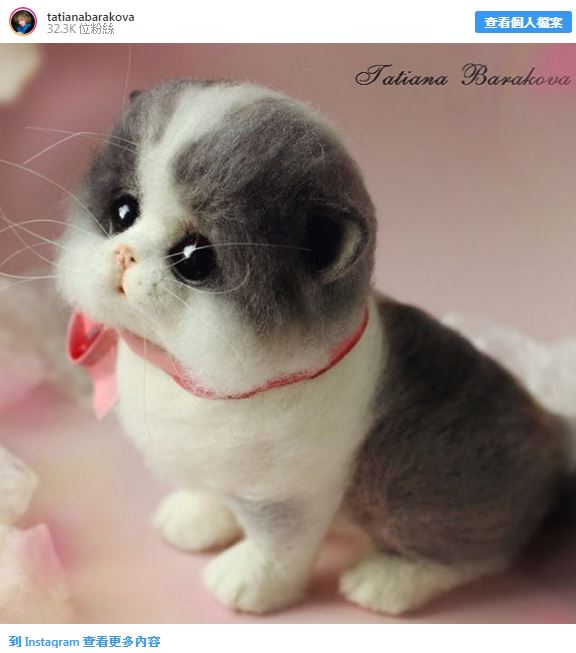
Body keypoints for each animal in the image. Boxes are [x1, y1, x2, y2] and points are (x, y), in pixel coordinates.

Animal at [56, 79, 574, 615]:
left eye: (194, 258)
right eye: (122, 211)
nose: (124, 254)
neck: (179, 371)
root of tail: (554, 445)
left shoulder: (287, 494)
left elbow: (277, 546)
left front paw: (249, 582)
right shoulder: (220, 464)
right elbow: (212, 489)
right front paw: (197, 517)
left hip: (415, 484)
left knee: (477, 553)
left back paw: (389, 580)